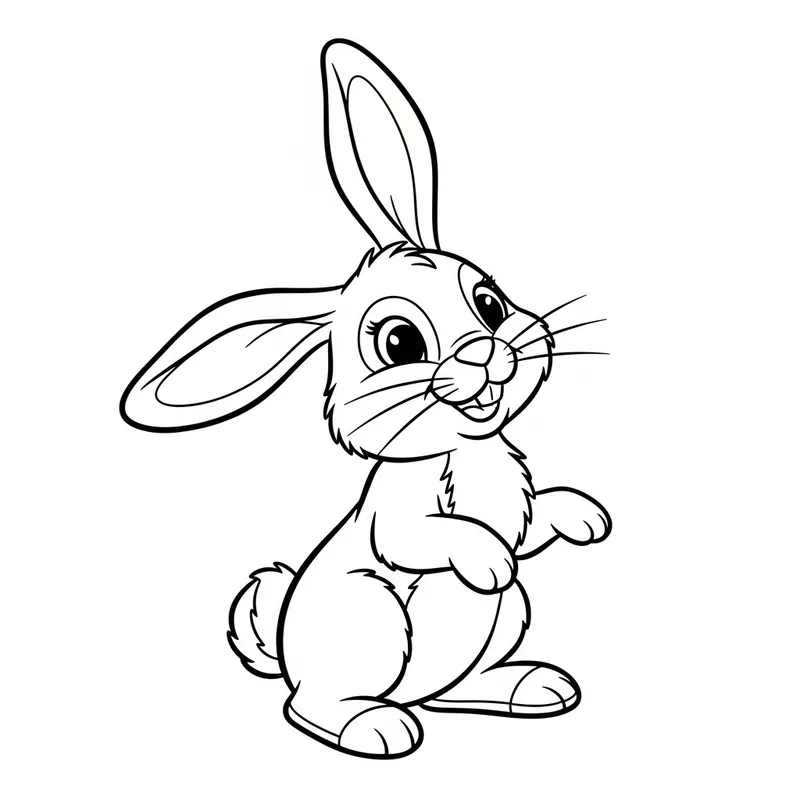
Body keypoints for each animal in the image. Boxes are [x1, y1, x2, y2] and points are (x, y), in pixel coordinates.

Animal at [120, 38, 611, 759]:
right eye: (400, 342)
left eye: (489, 303)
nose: (483, 351)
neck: (464, 452)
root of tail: (287, 655)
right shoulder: (394, 523)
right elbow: (430, 536)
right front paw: (488, 558)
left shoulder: (519, 512)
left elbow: (537, 521)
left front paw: (585, 517)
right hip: (370, 614)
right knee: (309, 709)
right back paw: (374, 726)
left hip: (505, 620)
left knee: (453, 687)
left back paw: (527, 687)